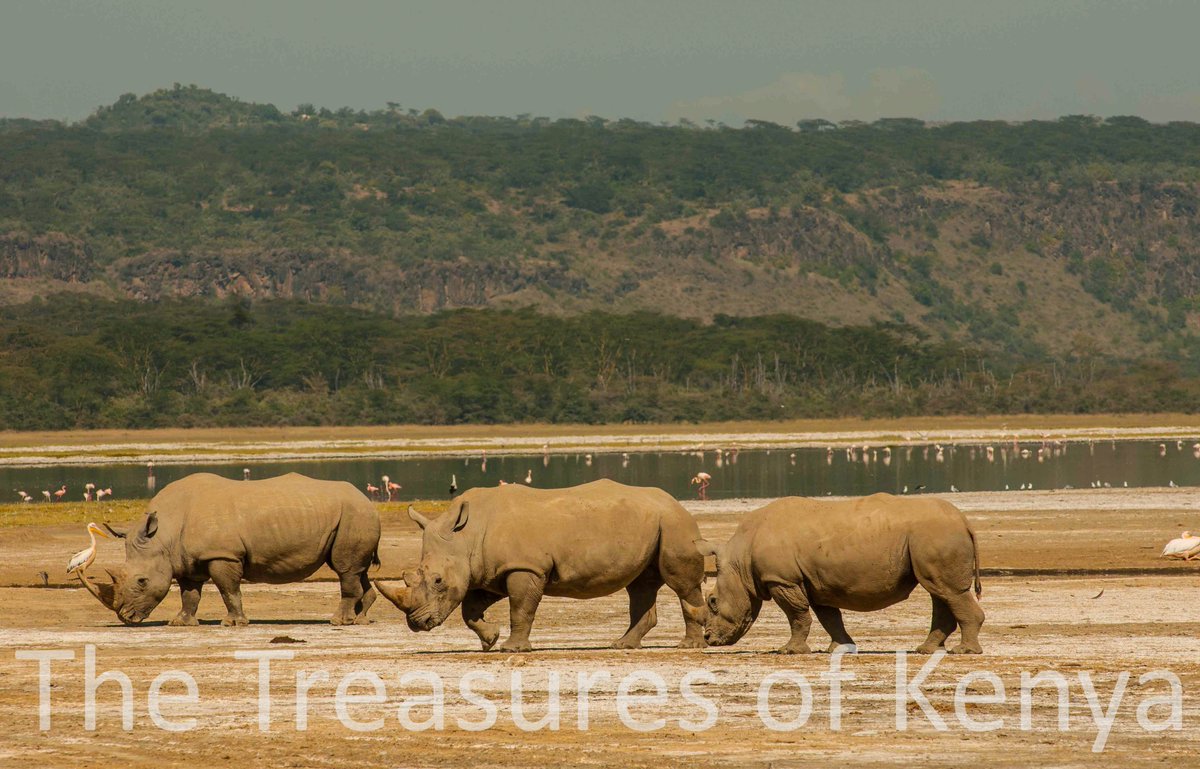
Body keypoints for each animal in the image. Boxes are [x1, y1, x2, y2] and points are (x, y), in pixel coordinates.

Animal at [79, 472, 381, 627]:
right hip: (353, 515)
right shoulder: (186, 560)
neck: (163, 535)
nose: (125, 617)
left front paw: (233, 623)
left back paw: (338, 622)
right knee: (357, 570)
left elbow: (228, 590)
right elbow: (189, 594)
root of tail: (364, 497)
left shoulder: (222, 554)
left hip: (355, 514)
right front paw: (181, 623)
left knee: (345, 569)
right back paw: (361, 620)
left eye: (142, 581)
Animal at [374, 479, 708, 652]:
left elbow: (520, 608)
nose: (417, 623)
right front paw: (490, 640)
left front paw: (512, 649)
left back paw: (688, 646)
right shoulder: (490, 571)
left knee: (680, 583)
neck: (466, 535)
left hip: (673, 523)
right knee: (640, 585)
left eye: (438, 581)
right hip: (653, 523)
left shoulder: (524, 567)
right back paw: (622, 645)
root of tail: (676, 502)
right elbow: (470, 609)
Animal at [700, 493, 984, 654]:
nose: (708, 638)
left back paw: (963, 651)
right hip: (932, 536)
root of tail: (964, 521)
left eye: (713, 601)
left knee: (948, 592)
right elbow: (829, 618)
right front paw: (841, 648)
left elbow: (796, 614)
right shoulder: (814, 582)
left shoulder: (782, 580)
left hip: (936, 534)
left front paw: (789, 651)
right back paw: (926, 650)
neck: (740, 560)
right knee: (940, 592)